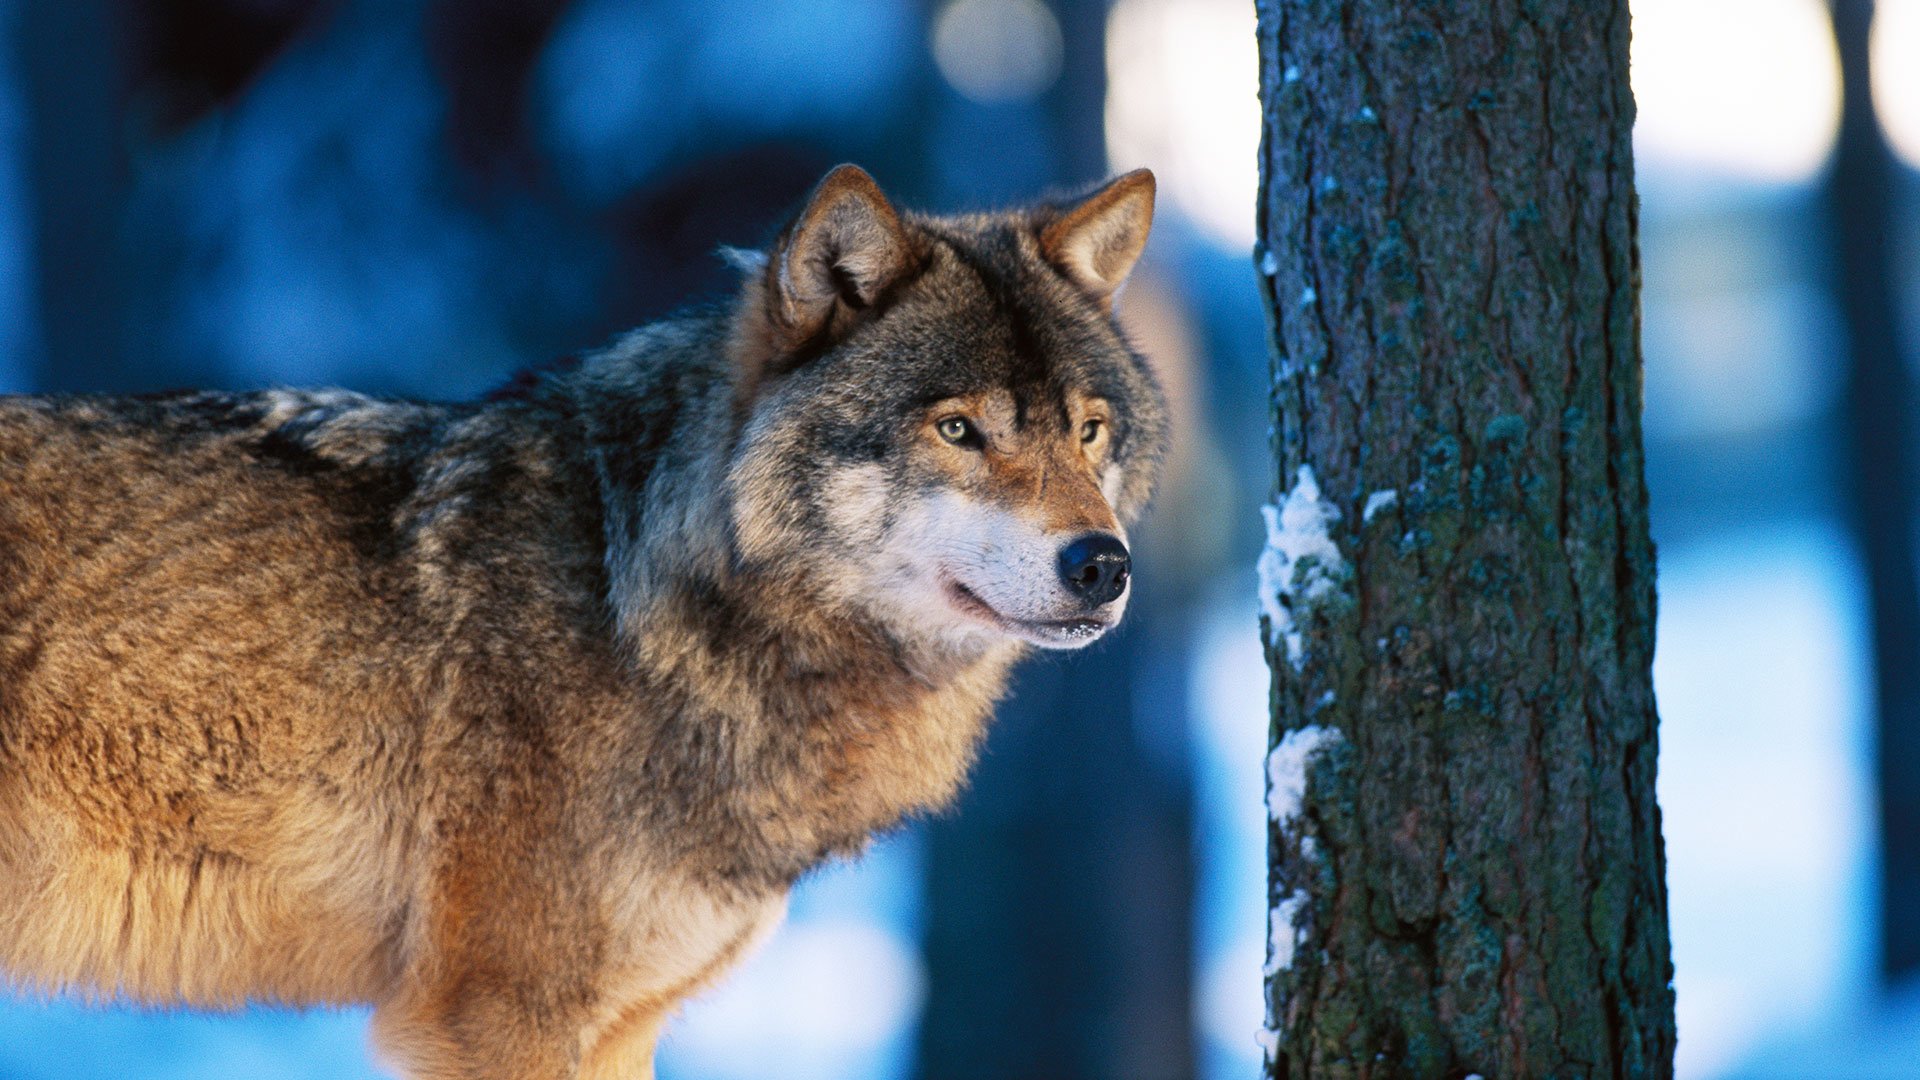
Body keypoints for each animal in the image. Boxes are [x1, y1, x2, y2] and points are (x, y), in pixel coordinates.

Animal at [0, 164, 1159, 1068]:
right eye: (958, 430)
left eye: (1089, 431)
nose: (1103, 565)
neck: (647, 603)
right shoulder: (501, 1016)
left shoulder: (619, 1027)